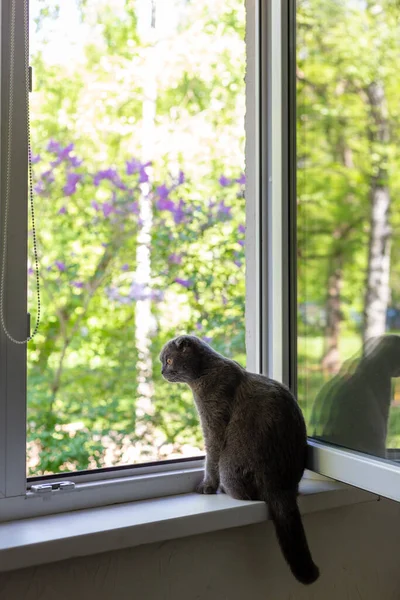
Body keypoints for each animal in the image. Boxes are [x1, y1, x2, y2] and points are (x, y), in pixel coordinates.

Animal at [159, 336, 318, 584]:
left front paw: (207, 486)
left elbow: (210, 457)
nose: (161, 371)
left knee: (244, 492)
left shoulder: (213, 422)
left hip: (230, 465)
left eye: (168, 360)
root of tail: (280, 487)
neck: (205, 373)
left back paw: (225, 489)